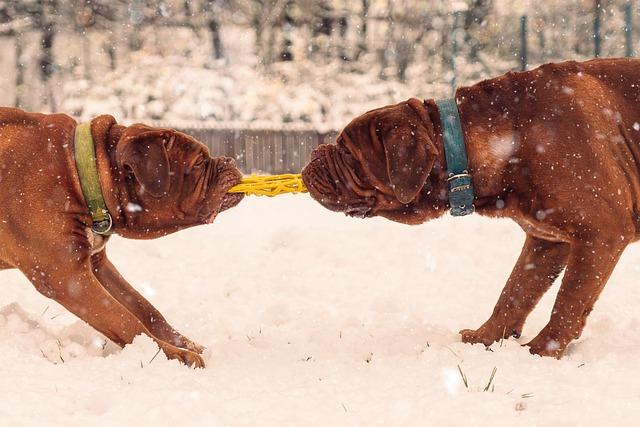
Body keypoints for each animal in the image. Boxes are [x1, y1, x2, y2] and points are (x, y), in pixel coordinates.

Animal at [0, 110, 244, 368]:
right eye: (198, 163)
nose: (230, 160)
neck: (80, 173)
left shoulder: (96, 264)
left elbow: (143, 307)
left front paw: (183, 343)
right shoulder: (66, 276)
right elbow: (123, 319)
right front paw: (175, 355)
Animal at [302, 57, 640, 358]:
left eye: (347, 153)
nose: (316, 152)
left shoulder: (600, 234)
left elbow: (569, 300)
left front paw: (542, 351)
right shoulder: (546, 239)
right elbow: (515, 291)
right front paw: (485, 338)